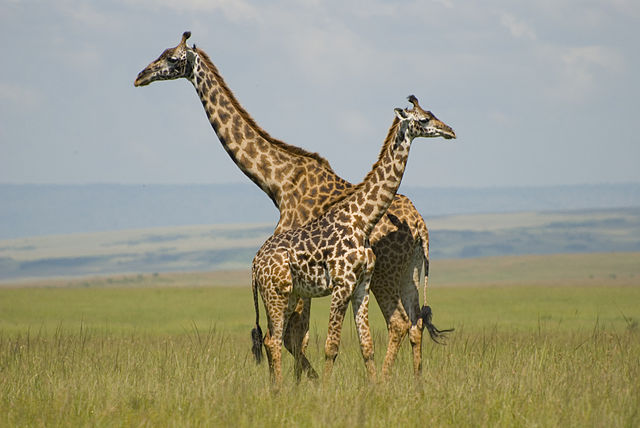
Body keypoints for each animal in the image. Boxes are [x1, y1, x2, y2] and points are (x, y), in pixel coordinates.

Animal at [250, 99, 455, 385]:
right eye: (424, 119)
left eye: (432, 113)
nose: (450, 131)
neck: (363, 219)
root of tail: (254, 263)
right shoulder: (342, 284)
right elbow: (331, 346)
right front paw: (325, 390)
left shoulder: (362, 284)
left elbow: (366, 345)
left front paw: (376, 388)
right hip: (275, 294)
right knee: (274, 340)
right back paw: (278, 388)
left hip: (288, 295)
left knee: (272, 338)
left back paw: (275, 388)